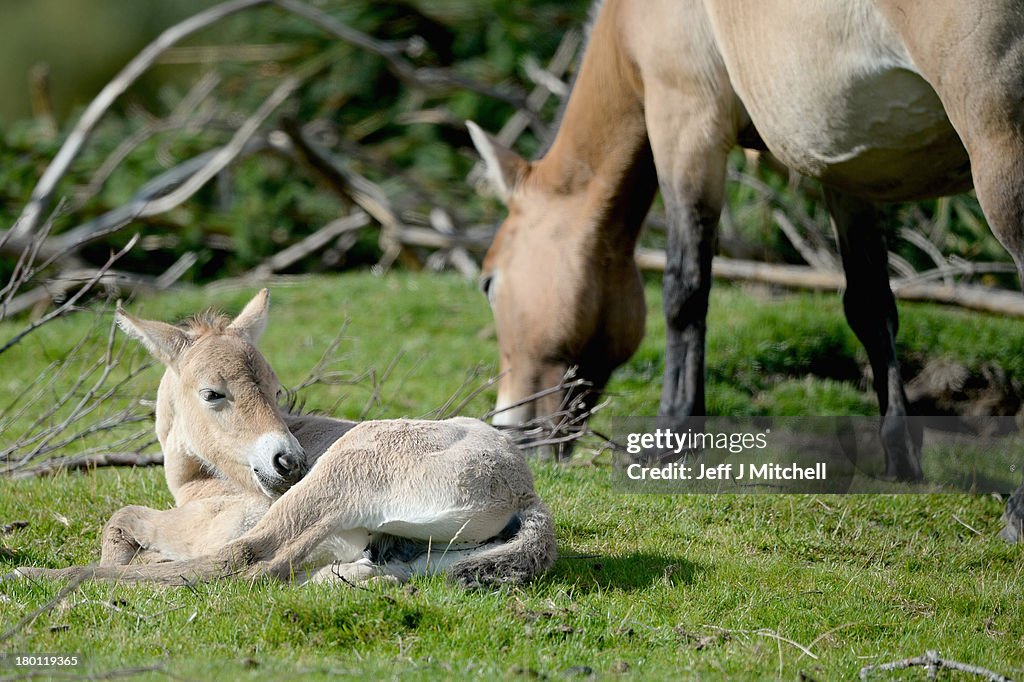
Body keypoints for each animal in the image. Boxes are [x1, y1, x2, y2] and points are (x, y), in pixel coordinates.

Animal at [468, 0, 1024, 532]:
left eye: (489, 284)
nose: (506, 430)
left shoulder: (686, 121)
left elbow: (685, 289)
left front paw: (671, 435)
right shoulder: (847, 165)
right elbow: (870, 306)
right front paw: (900, 456)